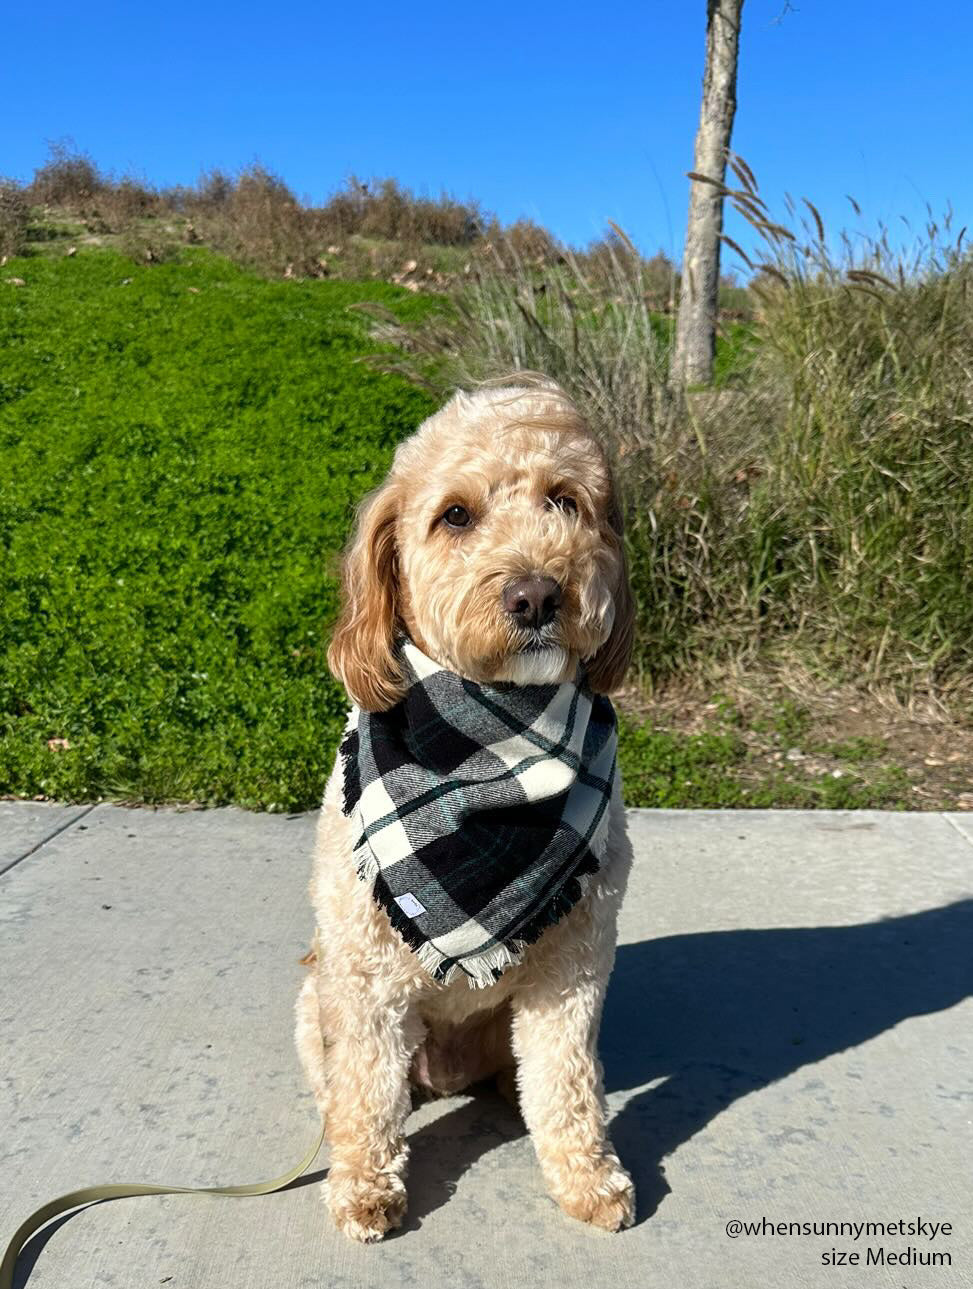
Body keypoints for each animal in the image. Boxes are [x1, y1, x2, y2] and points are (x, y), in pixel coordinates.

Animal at [292, 376, 636, 1242]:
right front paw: (363, 1186)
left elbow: (566, 1080)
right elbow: (367, 1090)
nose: (538, 593)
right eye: (454, 515)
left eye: (565, 500)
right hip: (316, 998)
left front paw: (587, 1175)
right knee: (345, 1085)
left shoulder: (573, 964)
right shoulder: (366, 975)